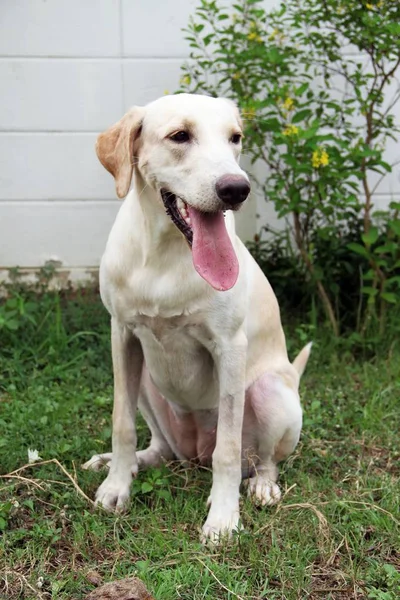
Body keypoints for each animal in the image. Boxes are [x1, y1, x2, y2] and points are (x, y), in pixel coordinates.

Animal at [83, 94, 310, 544]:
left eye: (235, 137)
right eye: (179, 136)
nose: (236, 188)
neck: (166, 255)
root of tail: (193, 455)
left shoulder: (230, 347)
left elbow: (228, 449)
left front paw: (223, 517)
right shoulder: (122, 335)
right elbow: (121, 423)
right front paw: (116, 486)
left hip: (271, 391)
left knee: (260, 458)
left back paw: (261, 485)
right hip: (146, 382)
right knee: (158, 448)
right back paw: (125, 461)